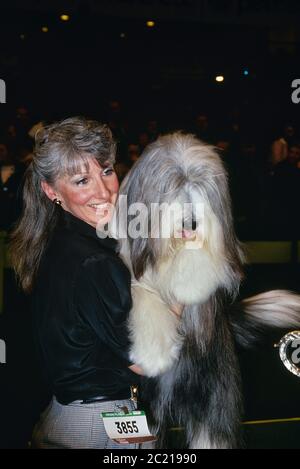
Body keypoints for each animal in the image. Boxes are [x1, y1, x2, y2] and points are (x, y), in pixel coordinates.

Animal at [115, 133, 300, 448]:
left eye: (200, 187)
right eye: (172, 186)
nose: (191, 222)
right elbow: (141, 291)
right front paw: (154, 353)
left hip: (215, 398)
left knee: (213, 434)